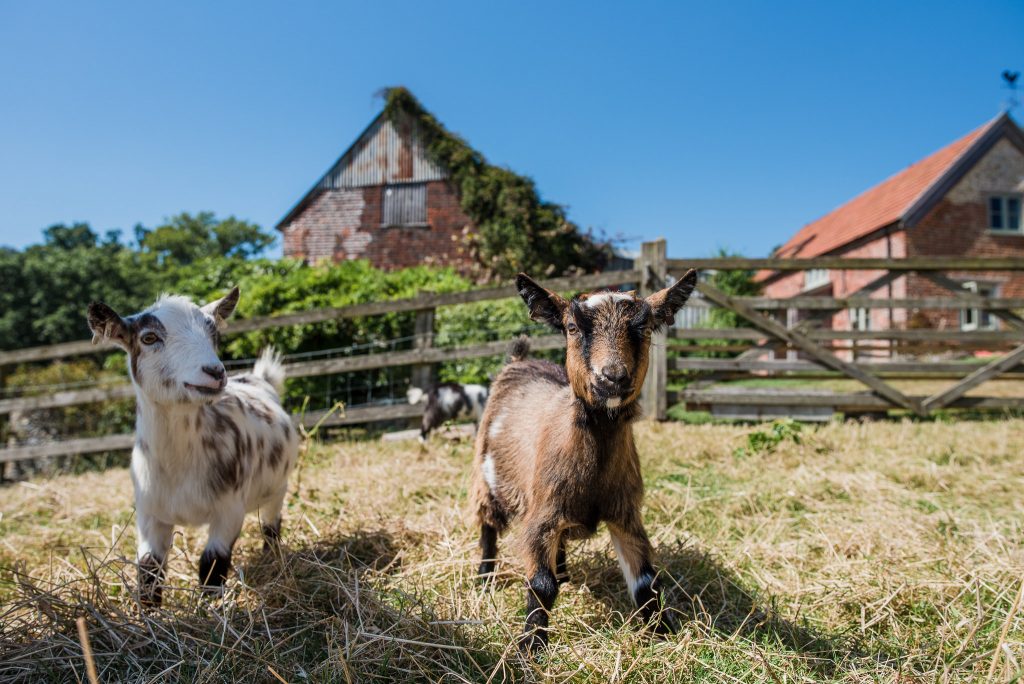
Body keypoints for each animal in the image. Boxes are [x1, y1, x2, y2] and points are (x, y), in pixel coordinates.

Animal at [87, 286, 299, 606]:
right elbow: (149, 570)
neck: (180, 466)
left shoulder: (229, 510)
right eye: (149, 337)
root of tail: (257, 378)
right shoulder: (149, 514)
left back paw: (271, 557)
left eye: (214, 333)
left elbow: (212, 564)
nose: (215, 372)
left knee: (271, 524)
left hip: (277, 487)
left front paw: (211, 610)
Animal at [468, 266, 696, 651]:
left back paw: (563, 573)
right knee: (487, 523)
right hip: (486, 474)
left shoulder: (625, 512)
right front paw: (531, 646)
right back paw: (484, 577)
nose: (613, 377)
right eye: (573, 327)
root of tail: (520, 360)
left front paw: (663, 633)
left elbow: (646, 583)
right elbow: (540, 585)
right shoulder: (540, 513)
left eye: (646, 327)